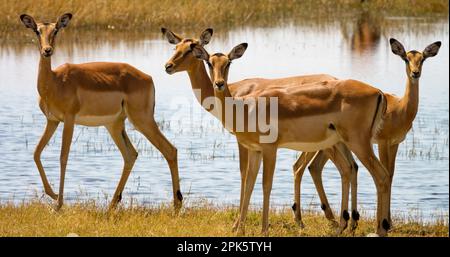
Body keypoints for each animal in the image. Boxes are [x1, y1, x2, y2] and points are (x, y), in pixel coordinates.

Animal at [20, 14, 183, 210]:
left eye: (56, 30)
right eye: (37, 30)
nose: (47, 50)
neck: (55, 81)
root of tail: (148, 78)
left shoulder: (69, 120)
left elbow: (63, 157)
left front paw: (58, 205)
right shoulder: (52, 121)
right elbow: (36, 152)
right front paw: (53, 195)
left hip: (142, 120)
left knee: (170, 150)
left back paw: (177, 205)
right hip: (114, 125)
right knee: (131, 155)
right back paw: (112, 204)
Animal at [162, 28, 358, 232]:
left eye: (190, 49)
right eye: (176, 47)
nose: (168, 66)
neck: (237, 96)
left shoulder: (244, 143)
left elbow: (244, 174)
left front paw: (237, 225)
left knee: (314, 168)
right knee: (348, 167)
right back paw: (346, 222)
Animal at [190, 41, 390, 234]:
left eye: (228, 63)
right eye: (209, 63)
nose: (219, 84)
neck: (246, 108)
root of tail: (378, 92)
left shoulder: (270, 149)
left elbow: (266, 185)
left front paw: (264, 230)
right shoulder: (255, 151)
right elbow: (249, 184)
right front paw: (239, 231)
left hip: (358, 144)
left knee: (380, 175)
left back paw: (379, 228)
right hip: (344, 144)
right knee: (355, 170)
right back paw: (350, 226)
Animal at [290, 37, 442, 228]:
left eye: (422, 59)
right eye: (406, 59)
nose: (415, 73)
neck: (401, 108)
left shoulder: (395, 144)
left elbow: (391, 174)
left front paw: (388, 221)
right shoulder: (383, 143)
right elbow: (386, 174)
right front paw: (386, 221)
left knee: (313, 167)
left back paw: (332, 219)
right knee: (300, 167)